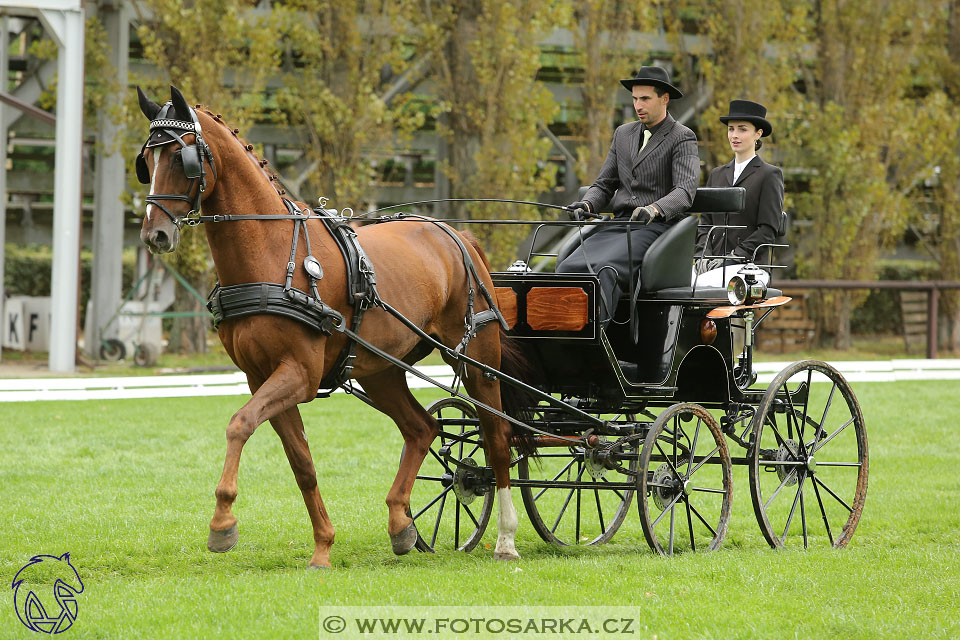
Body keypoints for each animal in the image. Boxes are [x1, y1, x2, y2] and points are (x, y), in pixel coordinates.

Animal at [135, 84, 516, 564]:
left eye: (181, 156)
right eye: (146, 162)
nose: (155, 236)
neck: (273, 251)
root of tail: (455, 234)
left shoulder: (299, 373)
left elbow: (239, 424)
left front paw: (222, 521)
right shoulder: (261, 376)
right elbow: (302, 463)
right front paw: (322, 546)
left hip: (478, 360)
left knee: (497, 438)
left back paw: (506, 539)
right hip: (381, 369)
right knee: (422, 429)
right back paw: (400, 523)